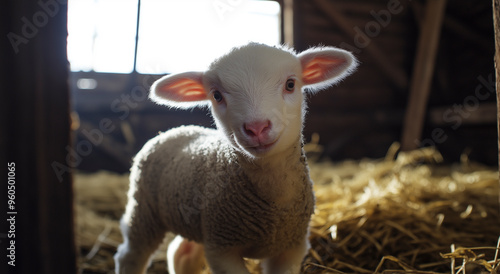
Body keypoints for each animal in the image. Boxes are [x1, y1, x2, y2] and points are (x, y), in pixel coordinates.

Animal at [114, 42, 356, 274]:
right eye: (216, 95)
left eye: (290, 84)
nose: (257, 128)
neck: (273, 206)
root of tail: (175, 130)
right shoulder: (222, 248)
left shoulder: (292, 247)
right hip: (144, 209)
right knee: (131, 254)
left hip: (196, 221)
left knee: (181, 253)